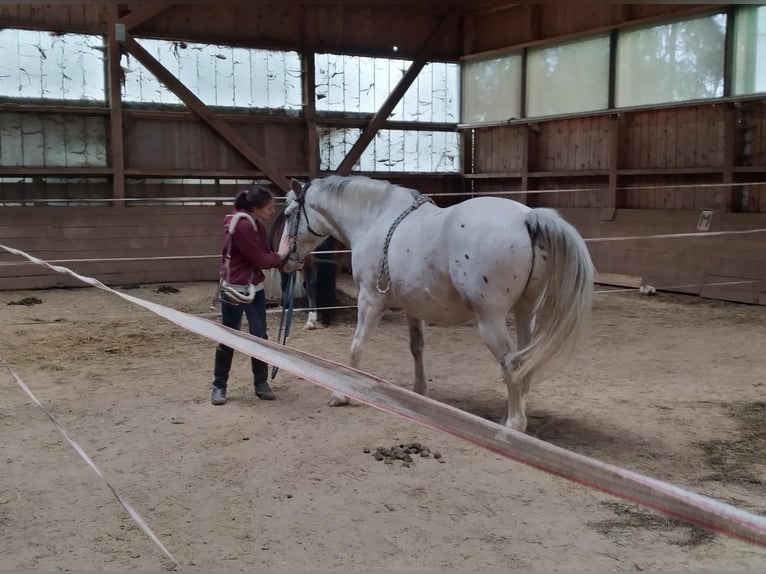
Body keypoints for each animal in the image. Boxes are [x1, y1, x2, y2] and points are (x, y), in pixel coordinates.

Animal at [280, 175, 594, 433]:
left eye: (288, 214)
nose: (284, 259)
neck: (375, 220)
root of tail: (527, 217)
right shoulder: (413, 307)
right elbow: (417, 348)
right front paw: (419, 391)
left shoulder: (370, 299)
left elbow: (357, 346)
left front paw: (341, 394)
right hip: (526, 312)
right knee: (523, 362)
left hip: (490, 321)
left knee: (511, 363)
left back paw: (514, 425)